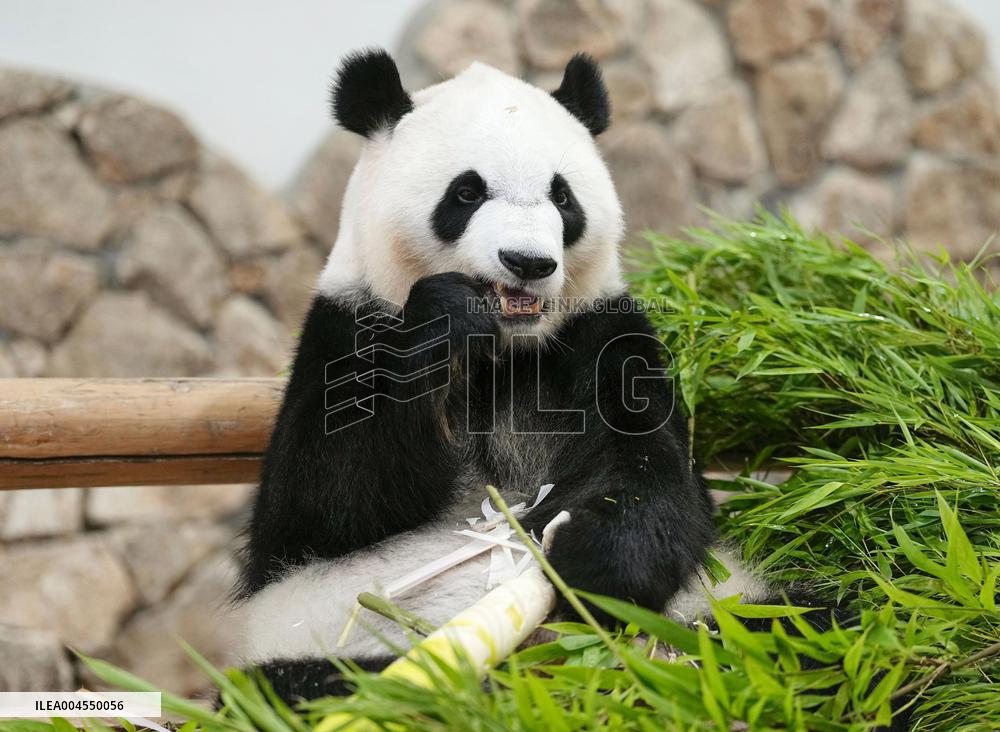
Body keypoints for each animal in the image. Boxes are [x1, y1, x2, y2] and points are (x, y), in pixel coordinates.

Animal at [231, 48, 770, 702]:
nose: (528, 262)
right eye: (466, 192)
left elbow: (655, 473)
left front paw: (590, 563)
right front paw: (446, 314)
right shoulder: (346, 327)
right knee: (309, 685)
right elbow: (322, 503)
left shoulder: (601, 336)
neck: (505, 351)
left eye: (562, 197)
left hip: (723, 611)